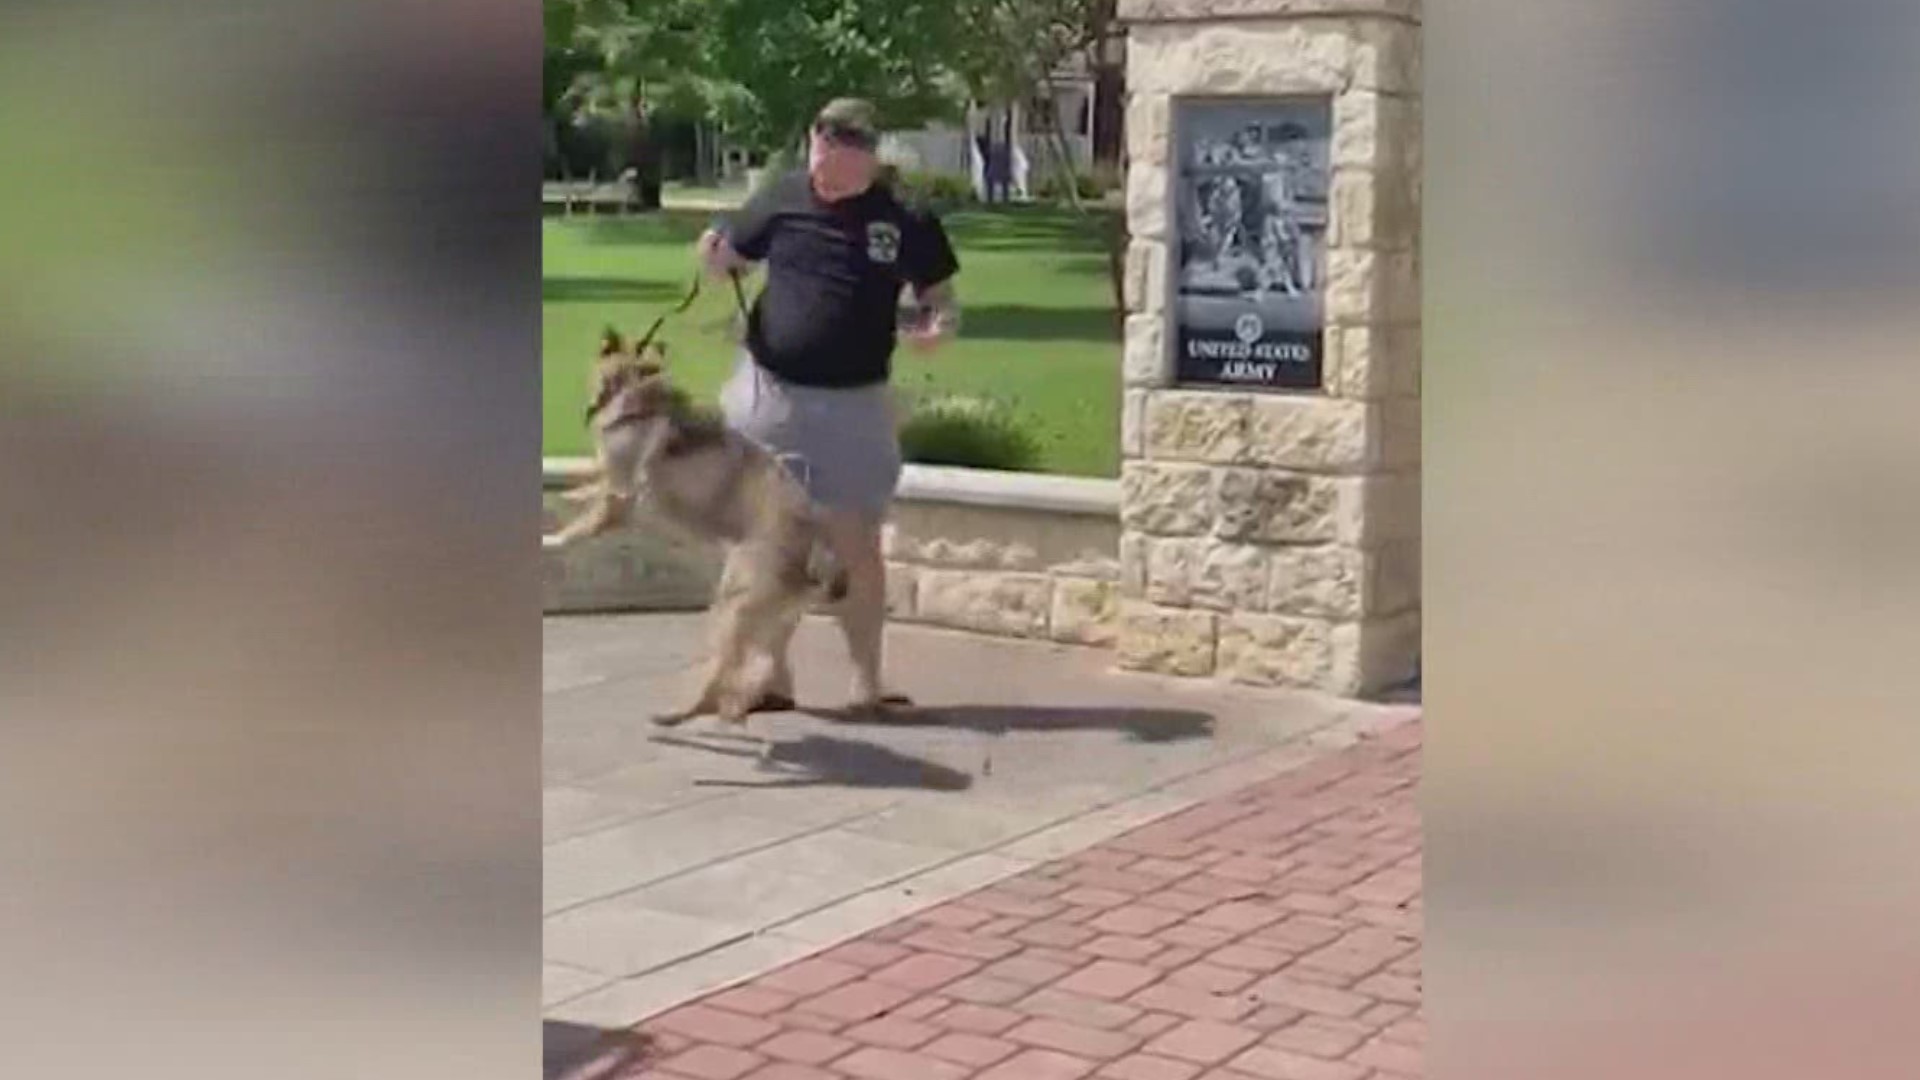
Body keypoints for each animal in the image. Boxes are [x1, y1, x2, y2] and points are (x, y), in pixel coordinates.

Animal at [537, 328, 844, 726]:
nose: (589, 408)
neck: (636, 395)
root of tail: (816, 550)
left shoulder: (619, 496)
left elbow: (579, 525)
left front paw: (551, 535)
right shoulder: (608, 477)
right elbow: (589, 477)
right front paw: (568, 492)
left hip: (733, 602)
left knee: (724, 668)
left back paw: (682, 713)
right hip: (763, 616)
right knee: (755, 662)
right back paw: (733, 708)